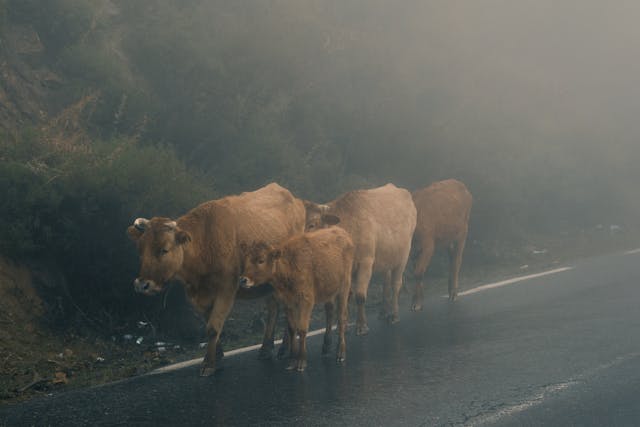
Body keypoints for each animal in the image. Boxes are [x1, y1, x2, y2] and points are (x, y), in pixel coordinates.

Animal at [126, 182, 306, 376]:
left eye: (164, 250)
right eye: (140, 250)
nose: (142, 284)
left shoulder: (227, 288)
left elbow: (213, 327)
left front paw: (208, 363)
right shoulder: (197, 295)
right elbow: (209, 324)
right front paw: (218, 355)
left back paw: (285, 349)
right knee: (273, 308)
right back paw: (266, 348)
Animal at [239, 229, 352, 372]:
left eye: (261, 260)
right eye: (246, 259)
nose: (243, 279)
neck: (289, 265)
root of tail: (342, 232)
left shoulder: (306, 301)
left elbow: (302, 329)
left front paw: (301, 361)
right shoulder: (288, 303)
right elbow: (292, 328)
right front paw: (292, 360)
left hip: (344, 288)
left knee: (341, 318)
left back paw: (340, 353)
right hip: (329, 291)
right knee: (329, 313)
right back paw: (326, 347)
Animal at [304, 182, 418, 336]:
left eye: (312, 224)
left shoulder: (366, 262)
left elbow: (360, 296)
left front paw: (361, 325)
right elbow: (345, 297)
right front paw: (342, 326)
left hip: (403, 256)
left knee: (396, 285)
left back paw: (394, 315)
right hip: (387, 259)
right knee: (386, 284)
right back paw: (383, 312)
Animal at [410, 179, 470, 310]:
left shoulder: (428, 245)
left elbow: (418, 272)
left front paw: (417, 303)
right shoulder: (413, 251)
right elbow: (416, 272)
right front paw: (418, 300)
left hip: (462, 232)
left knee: (457, 261)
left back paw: (453, 293)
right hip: (448, 238)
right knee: (452, 258)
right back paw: (450, 290)